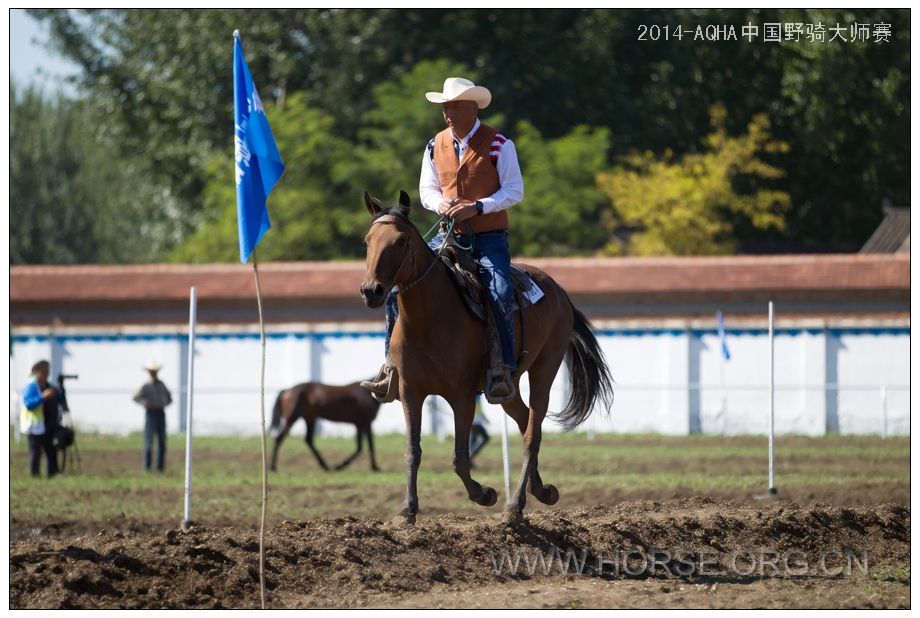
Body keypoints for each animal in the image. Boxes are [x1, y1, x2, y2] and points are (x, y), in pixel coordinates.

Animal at [360, 190, 612, 524]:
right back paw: (541, 490)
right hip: (507, 389)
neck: (429, 319)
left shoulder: (463, 397)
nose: (371, 290)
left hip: (544, 370)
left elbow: (460, 458)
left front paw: (485, 494)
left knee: (532, 433)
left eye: (400, 241)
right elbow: (413, 451)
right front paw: (407, 510)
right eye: (367, 241)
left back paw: (515, 505)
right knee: (525, 421)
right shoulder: (410, 391)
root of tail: (558, 291)